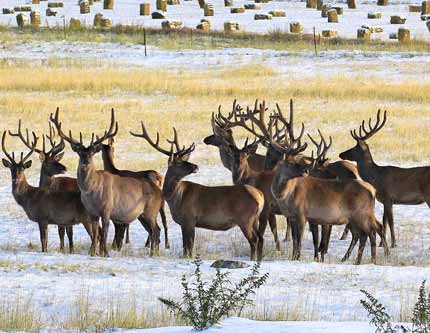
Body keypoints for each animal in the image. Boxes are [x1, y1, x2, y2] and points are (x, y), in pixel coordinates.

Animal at [50, 107, 165, 255]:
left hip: (151, 210)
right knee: (154, 230)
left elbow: (104, 232)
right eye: (79, 153)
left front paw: (105, 253)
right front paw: (92, 252)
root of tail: (159, 191)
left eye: (92, 153)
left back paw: (153, 253)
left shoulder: (107, 209)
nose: (85, 164)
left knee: (156, 230)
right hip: (142, 214)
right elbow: (95, 233)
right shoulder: (91, 212)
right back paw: (153, 253)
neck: (91, 191)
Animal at [130, 122, 266, 260]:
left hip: (245, 219)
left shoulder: (189, 219)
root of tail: (260, 196)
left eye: (184, 160)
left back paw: (253, 259)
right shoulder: (185, 222)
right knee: (260, 238)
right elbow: (186, 247)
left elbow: (188, 248)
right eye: (178, 163)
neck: (176, 199)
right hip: (254, 219)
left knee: (254, 240)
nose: (196, 166)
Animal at [272, 130, 390, 264]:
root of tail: (372, 190)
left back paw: (371, 260)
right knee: (365, 233)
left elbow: (301, 238)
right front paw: (293, 257)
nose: (305, 172)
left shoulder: (302, 214)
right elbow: (295, 239)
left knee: (369, 232)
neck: (286, 196)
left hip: (361, 213)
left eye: (297, 161)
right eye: (291, 163)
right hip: (358, 216)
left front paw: (298, 258)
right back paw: (359, 260)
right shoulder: (292, 217)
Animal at [340, 110, 430, 248]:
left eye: (354, 148)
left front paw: (393, 244)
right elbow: (384, 221)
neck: (376, 177)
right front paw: (382, 244)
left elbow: (391, 221)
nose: (341, 154)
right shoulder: (384, 200)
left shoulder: (388, 197)